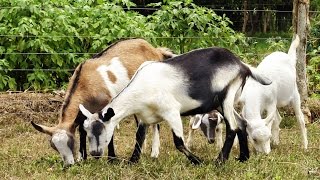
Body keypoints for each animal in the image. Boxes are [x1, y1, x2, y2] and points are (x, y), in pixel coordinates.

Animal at [30, 38, 175, 167]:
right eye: (54, 146)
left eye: (71, 143)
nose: (68, 165)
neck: (86, 82)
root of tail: (155, 50)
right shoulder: (84, 112)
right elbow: (82, 130)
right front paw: (83, 158)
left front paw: (111, 159)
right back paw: (144, 150)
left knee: (155, 124)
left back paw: (154, 153)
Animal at [79, 46, 272, 165]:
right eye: (86, 131)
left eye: (101, 130)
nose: (95, 153)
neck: (142, 87)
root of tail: (242, 65)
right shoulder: (144, 117)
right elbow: (139, 139)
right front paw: (132, 162)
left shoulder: (171, 111)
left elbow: (178, 142)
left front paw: (198, 161)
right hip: (219, 103)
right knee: (242, 123)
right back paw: (243, 158)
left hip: (226, 96)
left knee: (232, 127)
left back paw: (219, 161)